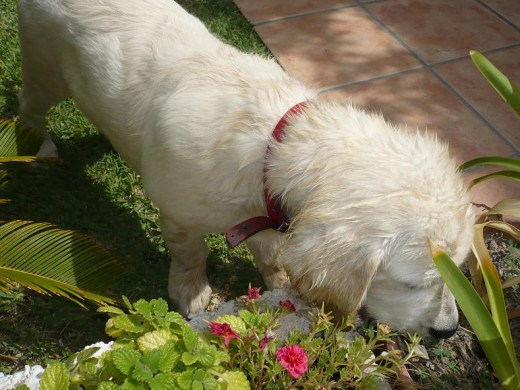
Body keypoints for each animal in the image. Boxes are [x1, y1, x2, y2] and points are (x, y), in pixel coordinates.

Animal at [18, 0, 474, 336]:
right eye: (413, 284)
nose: (448, 331)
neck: (276, 142)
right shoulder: (179, 211)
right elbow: (191, 252)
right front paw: (191, 291)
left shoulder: (267, 212)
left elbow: (270, 252)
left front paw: (279, 281)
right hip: (43, 66)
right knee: (29, 105)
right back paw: (36, 148)